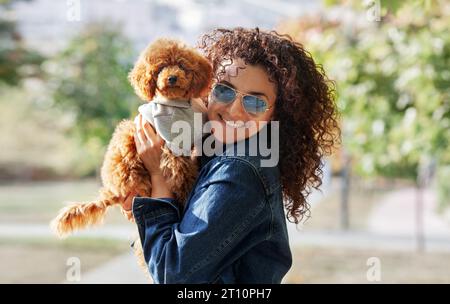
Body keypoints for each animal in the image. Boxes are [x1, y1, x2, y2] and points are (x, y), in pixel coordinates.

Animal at [51, 38, 214, 236]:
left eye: (181, 65)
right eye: (160, 68)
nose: (172, 78)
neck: (177, 105)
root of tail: (112, 192)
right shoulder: (172, 147)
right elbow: (183, 175)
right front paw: (186, 194)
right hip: (137, 176)